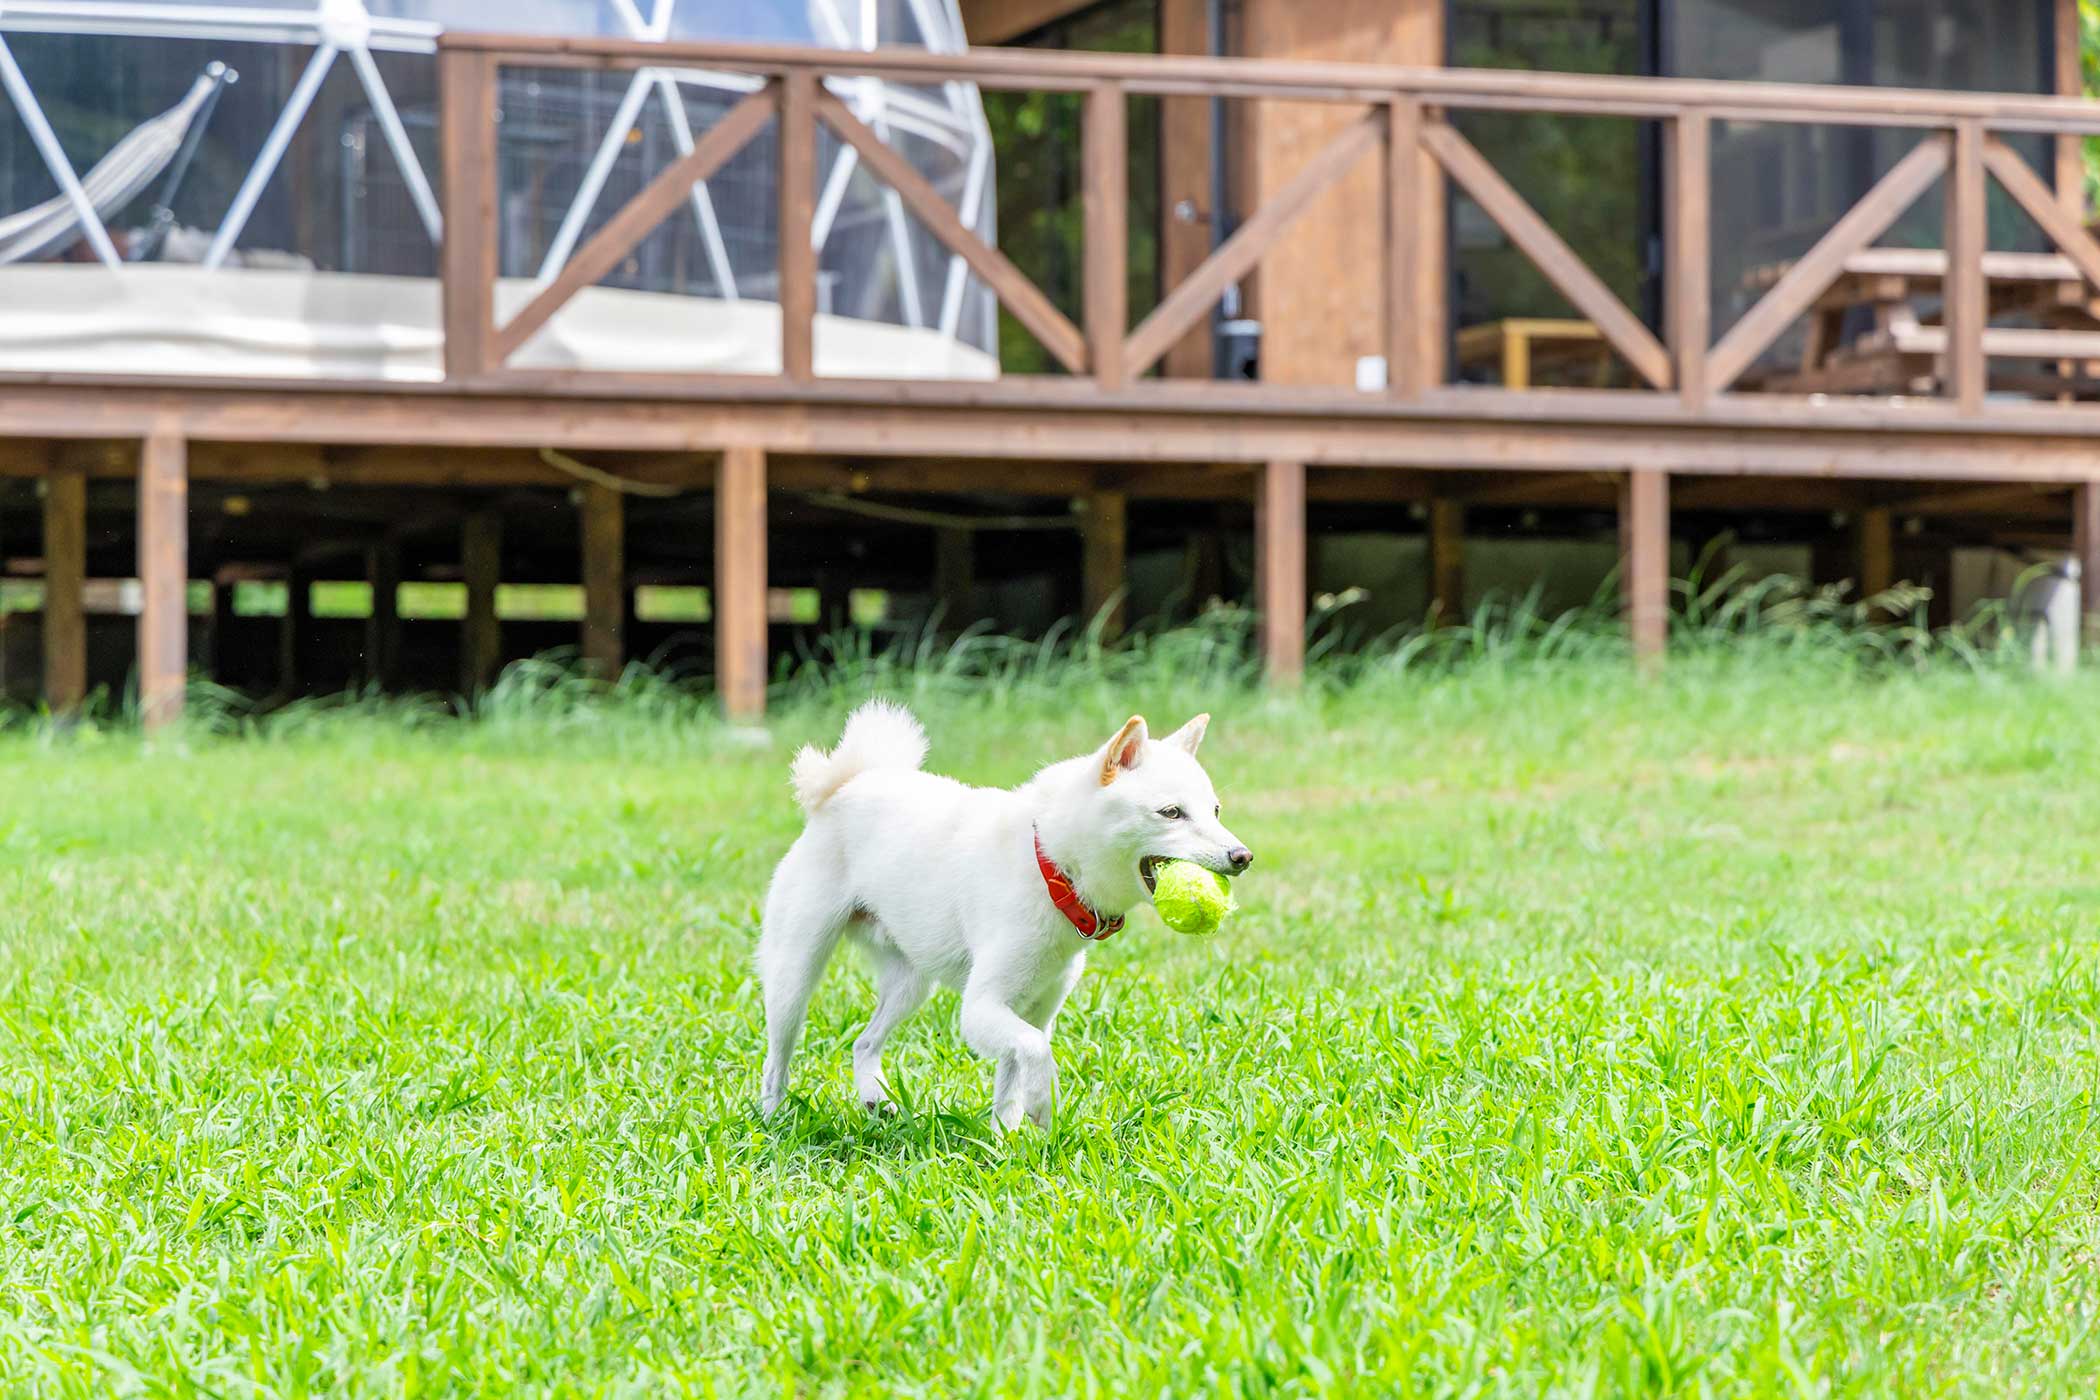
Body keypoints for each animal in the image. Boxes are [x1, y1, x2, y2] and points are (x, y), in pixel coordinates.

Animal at [755, 701, 1243, 1125]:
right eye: (1171, 812)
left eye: (1216, 810)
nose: (1243, 856)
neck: (1051, 868)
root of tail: (844, 787)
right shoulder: (982, 1007)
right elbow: (1034, 1051)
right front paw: (1042, 1104)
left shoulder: (1031, 1007)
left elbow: (1011, 1078)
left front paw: (1005, 1143)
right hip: (794, 976)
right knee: (777, 1058)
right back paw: (774, 1120)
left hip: (911, 983)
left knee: (864, 1042)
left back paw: (875, 1100)